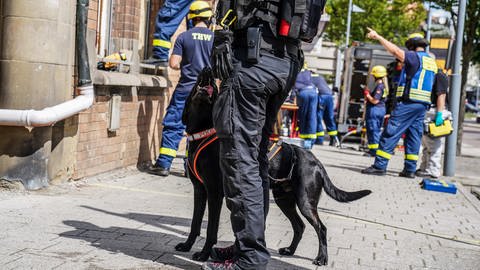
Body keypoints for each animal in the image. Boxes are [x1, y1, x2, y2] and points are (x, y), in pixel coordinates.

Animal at [174, 68, 374, 264]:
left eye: (215, 88)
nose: (208, 69)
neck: (203, 132)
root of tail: (315, 160)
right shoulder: (200, 190)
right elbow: (195, 223)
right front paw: (186, 245)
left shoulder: (215, 193)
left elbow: (211, 229)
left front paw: (203, 254)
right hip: (284, 199)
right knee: (299, 226)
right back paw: (290, 250)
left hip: (304, 201)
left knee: (321, 228)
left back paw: (321, 258)